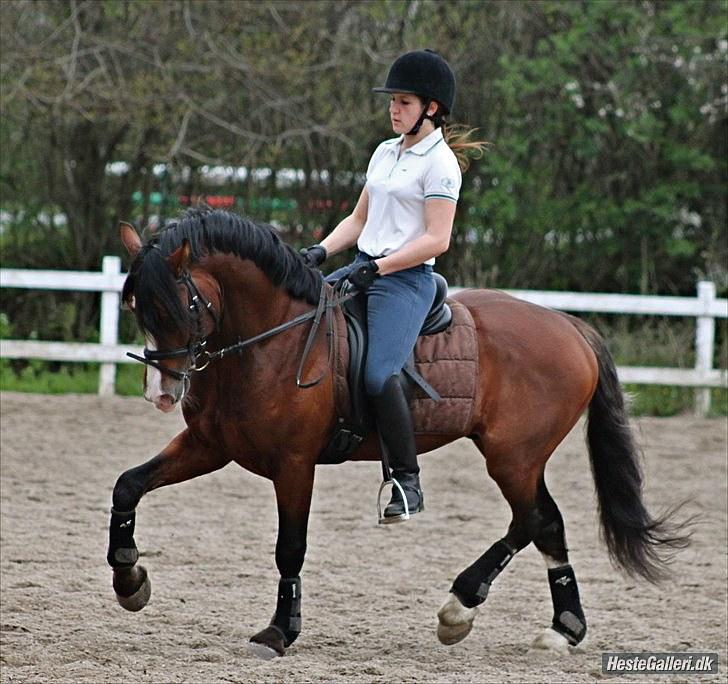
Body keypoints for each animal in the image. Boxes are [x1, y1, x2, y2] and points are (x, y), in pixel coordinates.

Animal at [108, 207, 688, 656]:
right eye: (136, 307)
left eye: (181, 305)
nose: (161, 392)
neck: (271, 341)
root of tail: (570, 325)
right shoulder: (210, 447)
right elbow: (127, 485)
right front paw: (129, 579)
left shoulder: (293, 465)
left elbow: (289, 548)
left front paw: (279, 632)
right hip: (517, 457)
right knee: (543, 523)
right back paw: (532, 622)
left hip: (513, 456)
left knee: (537, 520)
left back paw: (491, 613)